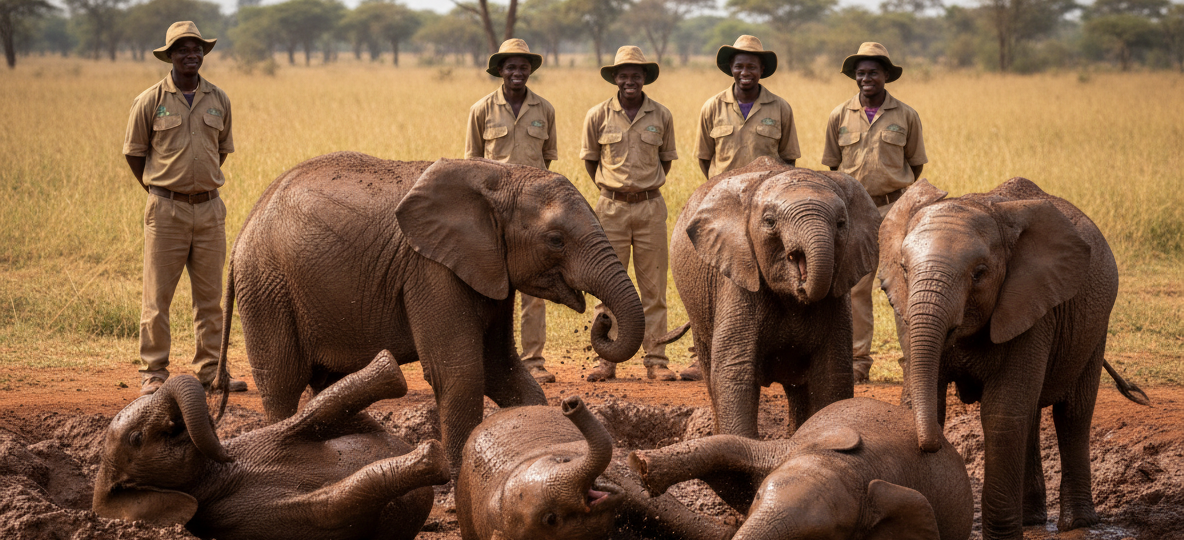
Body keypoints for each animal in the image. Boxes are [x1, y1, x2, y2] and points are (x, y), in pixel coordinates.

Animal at [94, 350, 450, 540]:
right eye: (137, 438)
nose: (226, 453)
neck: (220, 472)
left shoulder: (265, 436)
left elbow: (316, 409)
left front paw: (389, 367)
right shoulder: (242, 518)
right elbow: (339, 502)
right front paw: (433, 457)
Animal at [215, 152, 645, 470]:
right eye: (556, 240)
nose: (603, 318)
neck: (500, 176)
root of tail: (242, 233)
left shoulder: (490, 270)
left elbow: (503, 371)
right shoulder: (432, 271)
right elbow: (461, 372)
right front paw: (457, 477)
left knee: (329, 383)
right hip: (267, 287)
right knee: (282, 382)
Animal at [628, 397, 974, 540]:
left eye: (818, 537)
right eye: (756, 499)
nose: (636, 462)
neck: (854, 468)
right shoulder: (799, 446)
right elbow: (734, 450)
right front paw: (641, 467)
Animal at [878, 177, 1150, 539]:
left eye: (979, 273)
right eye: (904, 269)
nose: (933, 447)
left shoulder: (1032, 306)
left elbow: (1001, 413)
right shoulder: (904, 311)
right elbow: (927, 400)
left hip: (1095, 324)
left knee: (1072, 414)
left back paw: (1077, 524)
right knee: (1032, 414)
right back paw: (1033, 519)